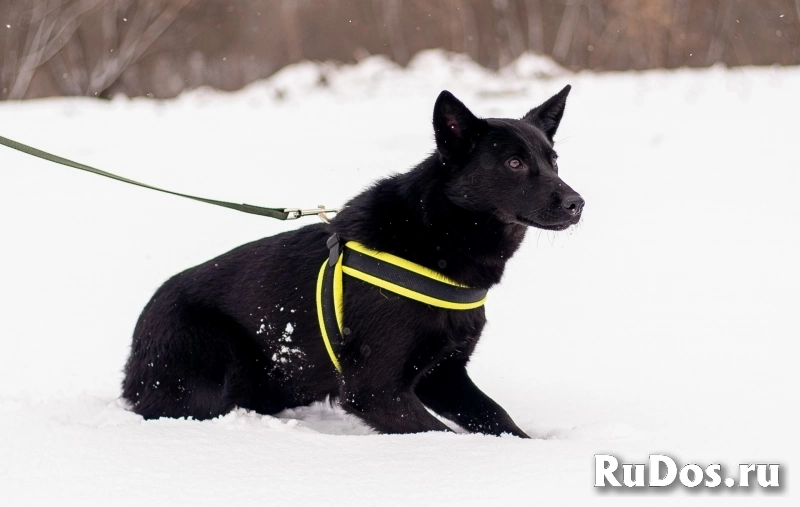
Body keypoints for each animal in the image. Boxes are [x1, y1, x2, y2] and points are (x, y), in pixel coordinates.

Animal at [123, 86, 580, 436]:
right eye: (514, 163)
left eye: (553, 161)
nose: (578, 203)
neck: (435, 240)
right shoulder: (374, 389)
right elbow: (439, 434)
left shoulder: (445, 377)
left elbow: (499, 420)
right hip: (221, 363)